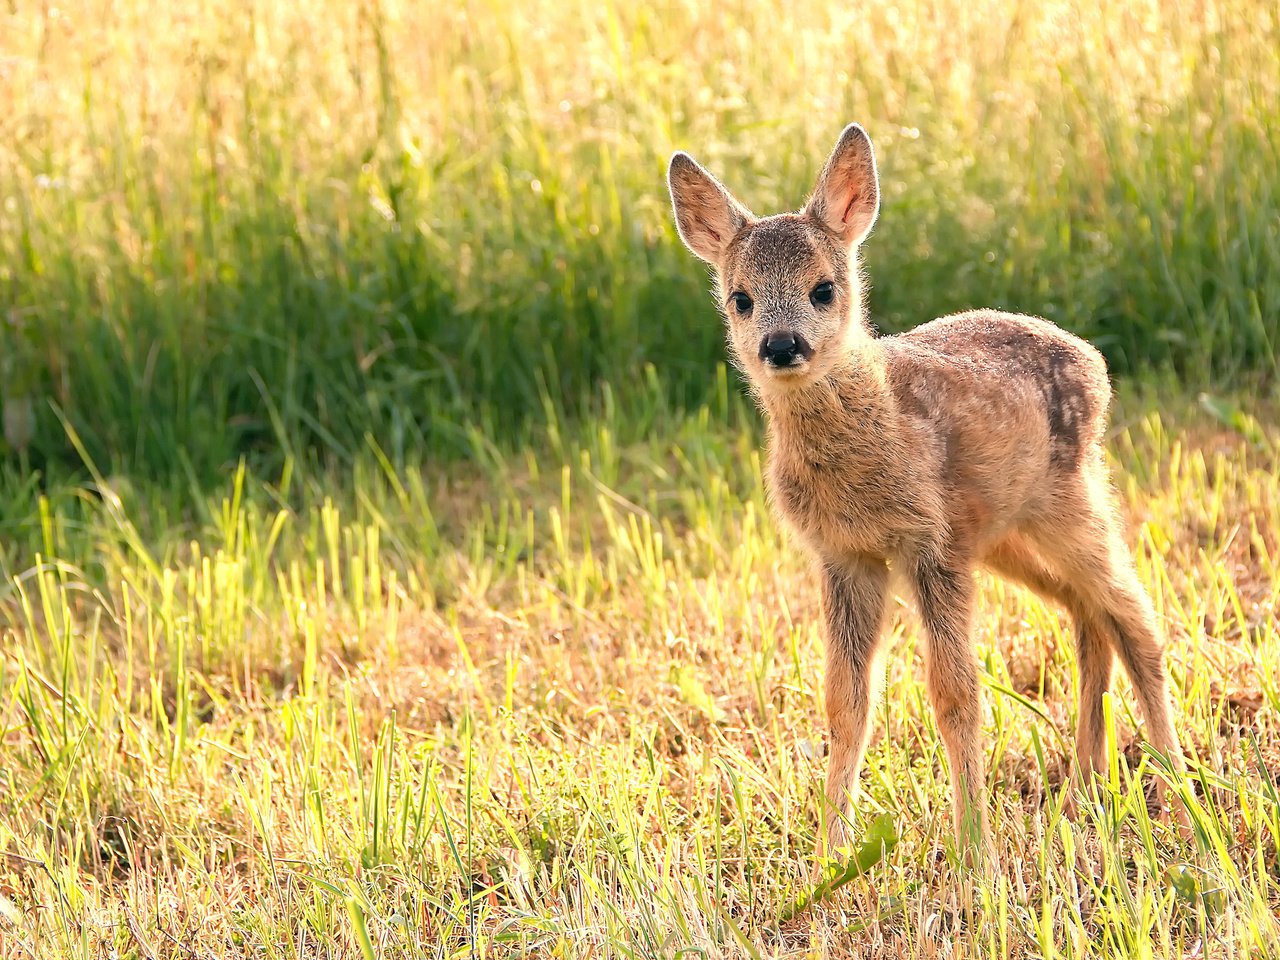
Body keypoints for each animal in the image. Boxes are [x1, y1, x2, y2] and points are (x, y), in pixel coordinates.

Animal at [665, 122, 1182, 855]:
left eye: (824, 289)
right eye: (741, 298)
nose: (782, 344)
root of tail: (1094, 362)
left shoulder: (928, 544)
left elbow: (956, 695)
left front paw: (976, 856)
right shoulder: (846, 555)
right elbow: (846, 703)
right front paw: (829, 854)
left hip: (1068, 500)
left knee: (1137, 620)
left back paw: (1178, 792)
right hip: (999, 537)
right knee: (1087, 612)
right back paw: (1084, 790)